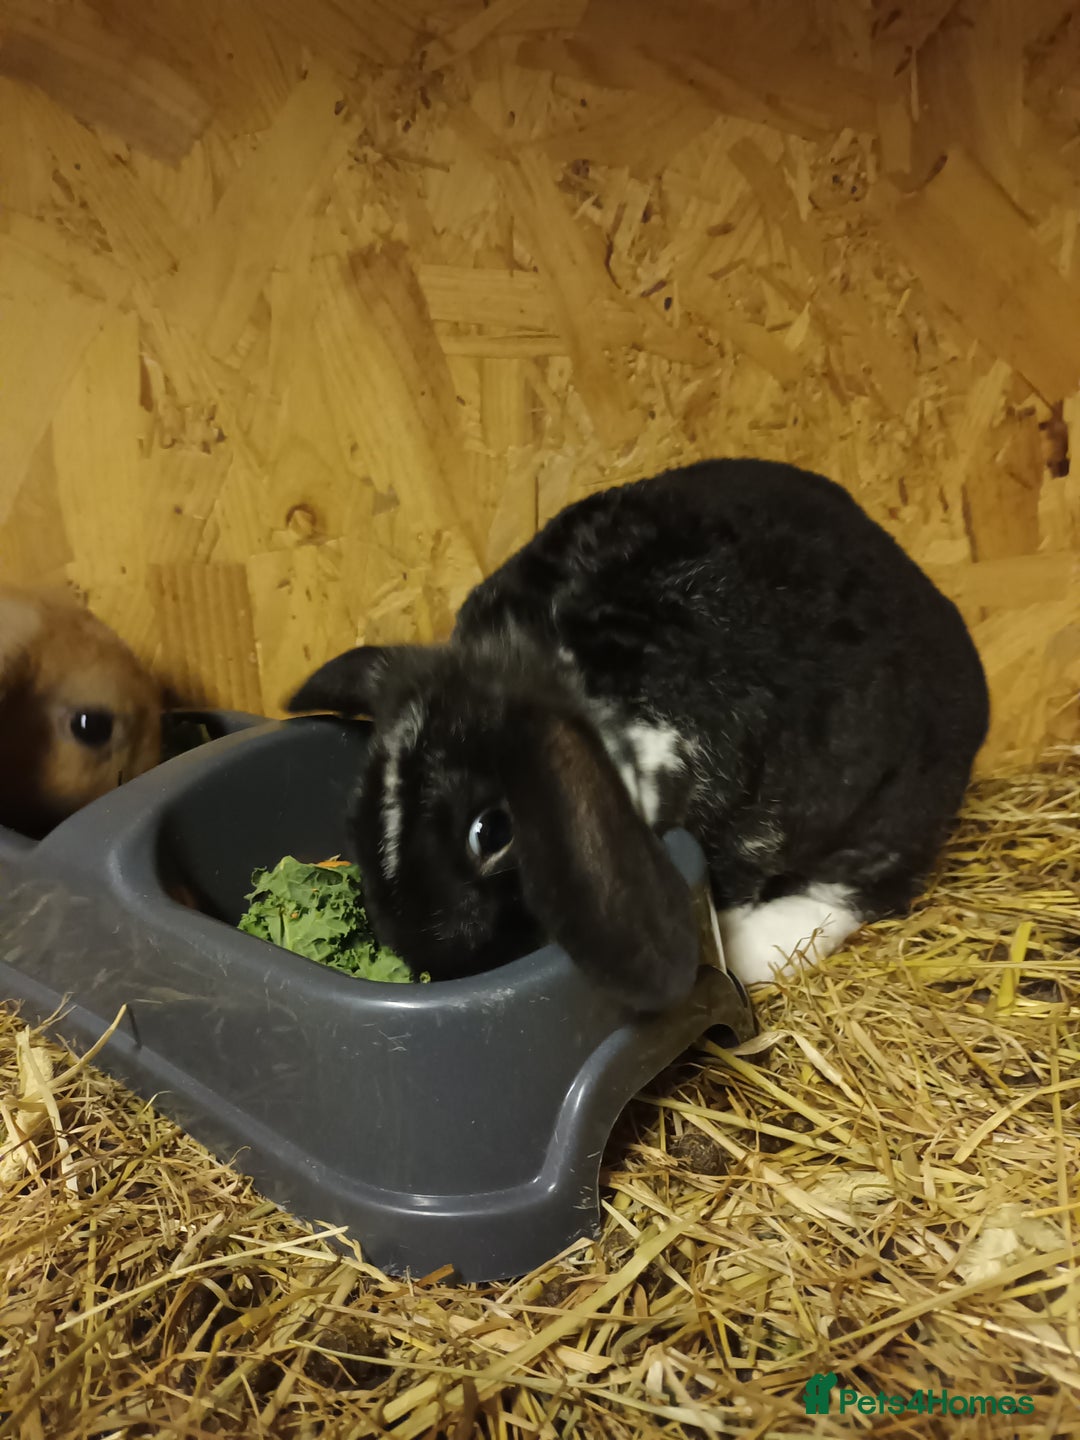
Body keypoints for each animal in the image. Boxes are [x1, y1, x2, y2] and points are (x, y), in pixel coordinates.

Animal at [286, 459, 990, 1012]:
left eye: (492, 833)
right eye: (355, 822)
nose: (433, 954)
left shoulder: (746, 822)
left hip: (901, 802)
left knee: (862, 887)